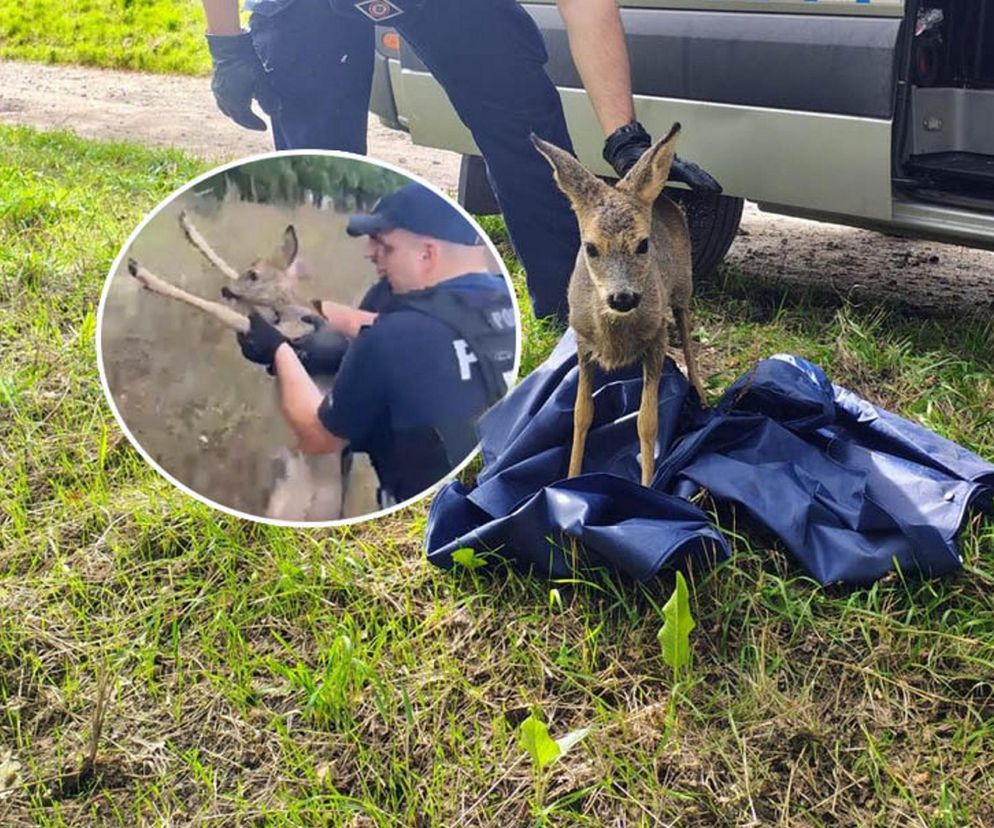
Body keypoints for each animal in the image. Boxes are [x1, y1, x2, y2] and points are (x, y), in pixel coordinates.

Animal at [126, 215, 346, 524]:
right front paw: (188, 228)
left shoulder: (277, 334)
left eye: (253, 275)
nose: (226, 289)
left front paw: (144, 274)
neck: (285, 309)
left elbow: (217, 309)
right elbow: (224, 266)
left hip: (291, 505)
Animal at [532, 121, 708, 486]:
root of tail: (664, 199)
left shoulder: (656, 339)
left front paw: (647, 486)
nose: (622, 297)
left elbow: (647, 422)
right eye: (590, 248)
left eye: (643, 245)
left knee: (687, 337)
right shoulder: (583, 343)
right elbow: (581, 415)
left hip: (683, 286)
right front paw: (570, 479)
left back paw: (700, 395)